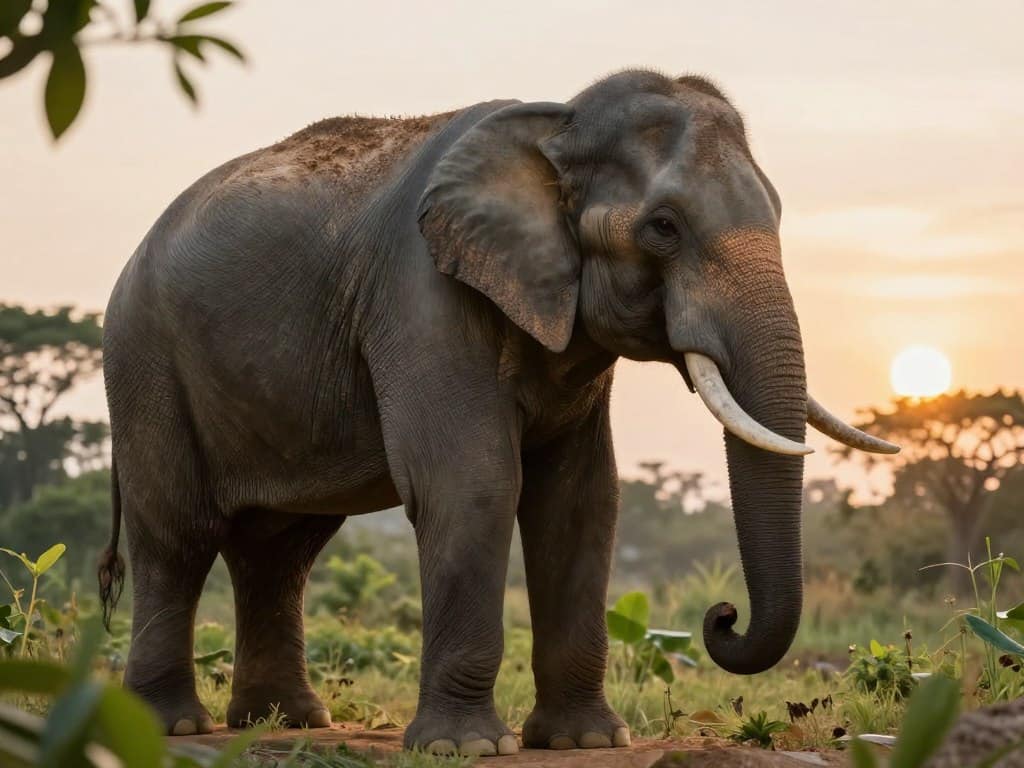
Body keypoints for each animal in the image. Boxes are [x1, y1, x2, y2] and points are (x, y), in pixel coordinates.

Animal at [97, 69, 897, 754]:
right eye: (664, 227)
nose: (722, 615)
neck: (555, 125)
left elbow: (582, 499)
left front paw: (586, 742)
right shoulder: (421, 293)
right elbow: (473, 483)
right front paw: (467, 748)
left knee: (279, 549)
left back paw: (286, 721)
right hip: (144, 361)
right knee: (178, 532)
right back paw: (174, 724)